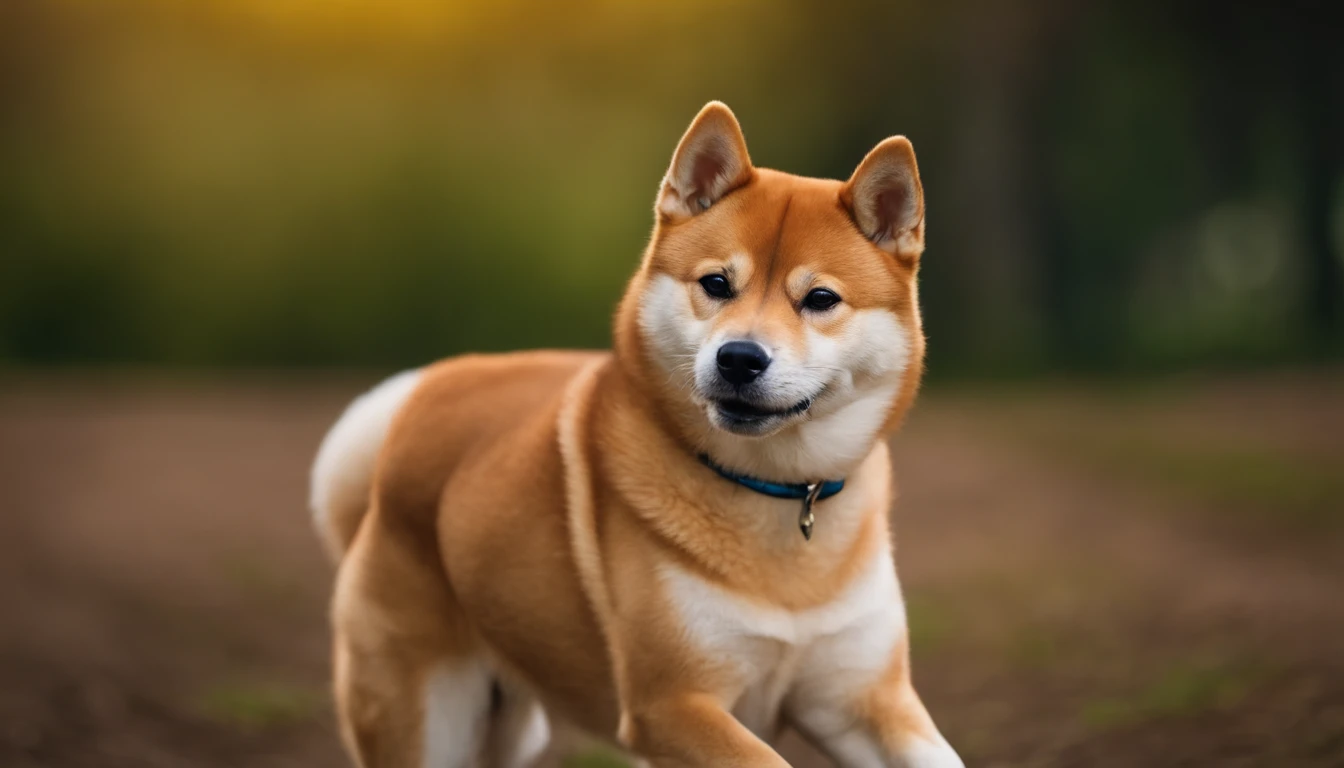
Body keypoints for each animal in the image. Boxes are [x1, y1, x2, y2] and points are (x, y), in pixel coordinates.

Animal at [309, 103, 962, 768]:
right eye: (717, 284)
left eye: (821, 298)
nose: (739, 358)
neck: (777, 491)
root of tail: (421, 401)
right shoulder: (671, 704)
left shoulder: (862, 702)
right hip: (427, 722)